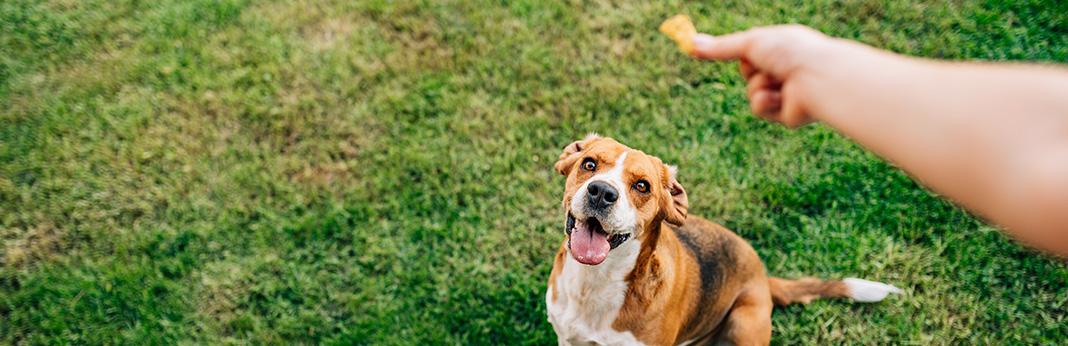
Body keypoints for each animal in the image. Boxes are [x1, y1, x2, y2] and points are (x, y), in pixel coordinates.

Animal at [542, 135, 901, 346]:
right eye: (589, 164)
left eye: (642, 186)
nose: (602, 192)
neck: (595, 282)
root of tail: (763, 277)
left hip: (744, 323)